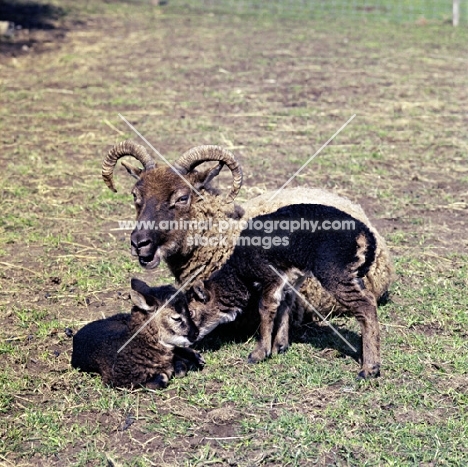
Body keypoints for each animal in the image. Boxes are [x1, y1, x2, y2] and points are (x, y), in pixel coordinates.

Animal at [188, 205, 382, 380]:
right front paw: (279, 347)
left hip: (334, 272)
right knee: (369, 300)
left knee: (365, 306)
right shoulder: (290, 279)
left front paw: (259, 354)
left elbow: (266, 308)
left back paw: (369, 369)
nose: (190, 339)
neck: (240, 273)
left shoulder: (271, 276)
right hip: (352, 275)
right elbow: (284, 305)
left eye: (191, 311)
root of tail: (365, 235)